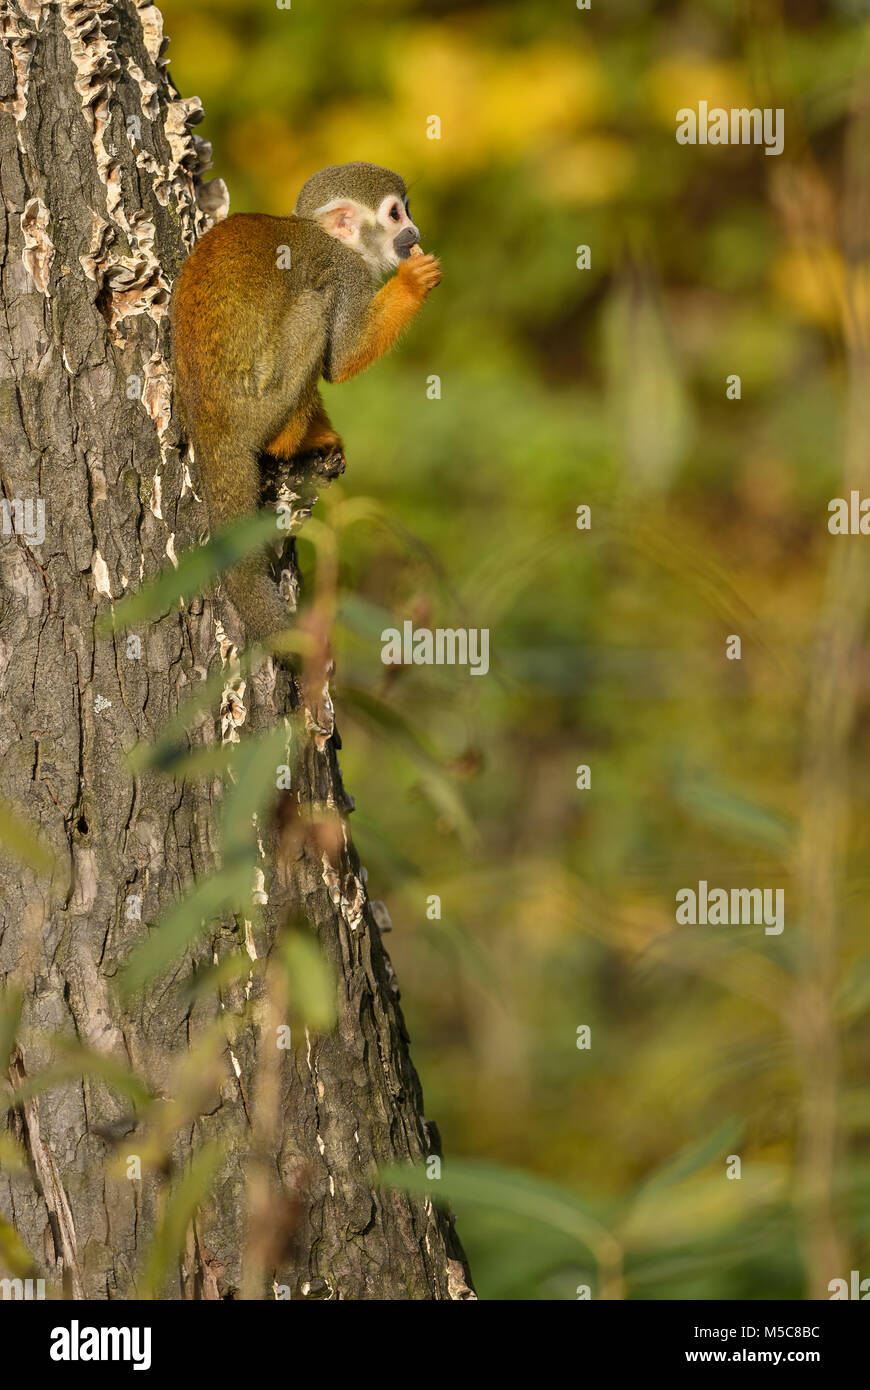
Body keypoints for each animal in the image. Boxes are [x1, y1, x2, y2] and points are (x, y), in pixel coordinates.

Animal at [169, 161, 439, 644]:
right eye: (395, 215)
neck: (328, 237)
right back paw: (287, 442)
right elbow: (341, 359)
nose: (415, 231)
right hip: (263, 399)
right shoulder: (347, 271)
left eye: (407, 212)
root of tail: (212, 425)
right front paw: (413, 282)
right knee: (317, 305)